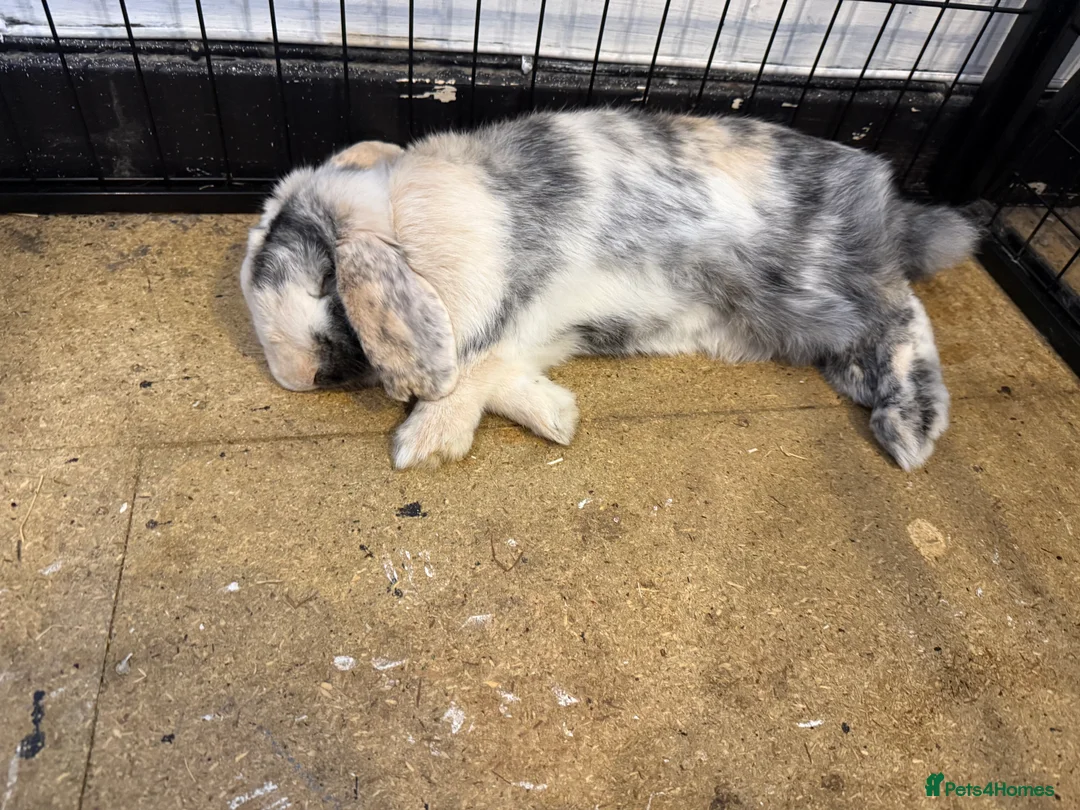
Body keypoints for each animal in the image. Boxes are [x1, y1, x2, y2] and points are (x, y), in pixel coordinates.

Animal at [240, 108, 977, 471]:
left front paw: (419, 446)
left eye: (324, 283)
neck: (406, 224)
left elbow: (469, 371)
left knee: (900, 312)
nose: (300, 378)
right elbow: (497, 371)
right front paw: (557, 417)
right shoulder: (535, 328)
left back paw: (908, 431)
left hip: (812, 283)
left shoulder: (517, 297)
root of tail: (886, 204)